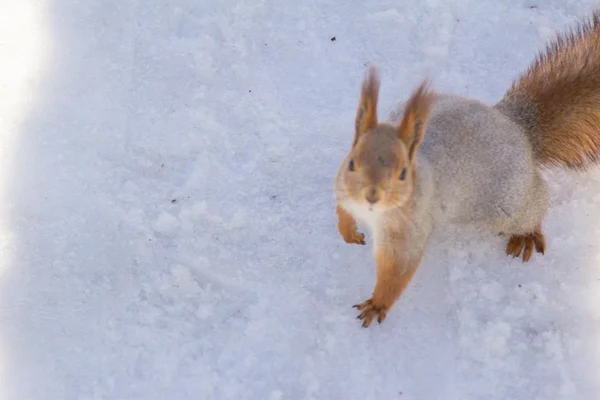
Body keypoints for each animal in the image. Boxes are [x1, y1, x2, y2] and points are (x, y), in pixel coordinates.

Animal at [336, 10, 600, 328]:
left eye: (402, 173)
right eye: (351, 161)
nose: (371, 195)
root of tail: (516, 126)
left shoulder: (409, 228)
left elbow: (397, 271)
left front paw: (377, 304)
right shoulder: (342, 191)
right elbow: (342, 213)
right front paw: (348, 233)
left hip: (510, 201)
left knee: (536, 203)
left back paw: (526, 235)